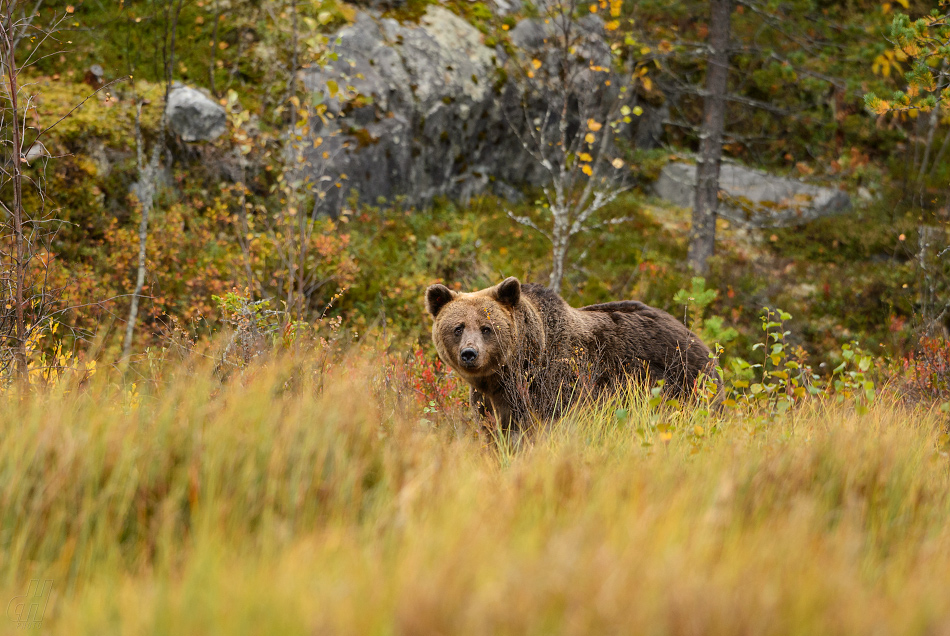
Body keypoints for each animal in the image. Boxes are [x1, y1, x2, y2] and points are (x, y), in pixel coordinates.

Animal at [428, 278, 716, 432]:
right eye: (458, 327)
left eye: (487, 328)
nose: (469, 353)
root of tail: (697, 340)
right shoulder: (487, 399)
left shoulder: (554, 386)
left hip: (685, 384)